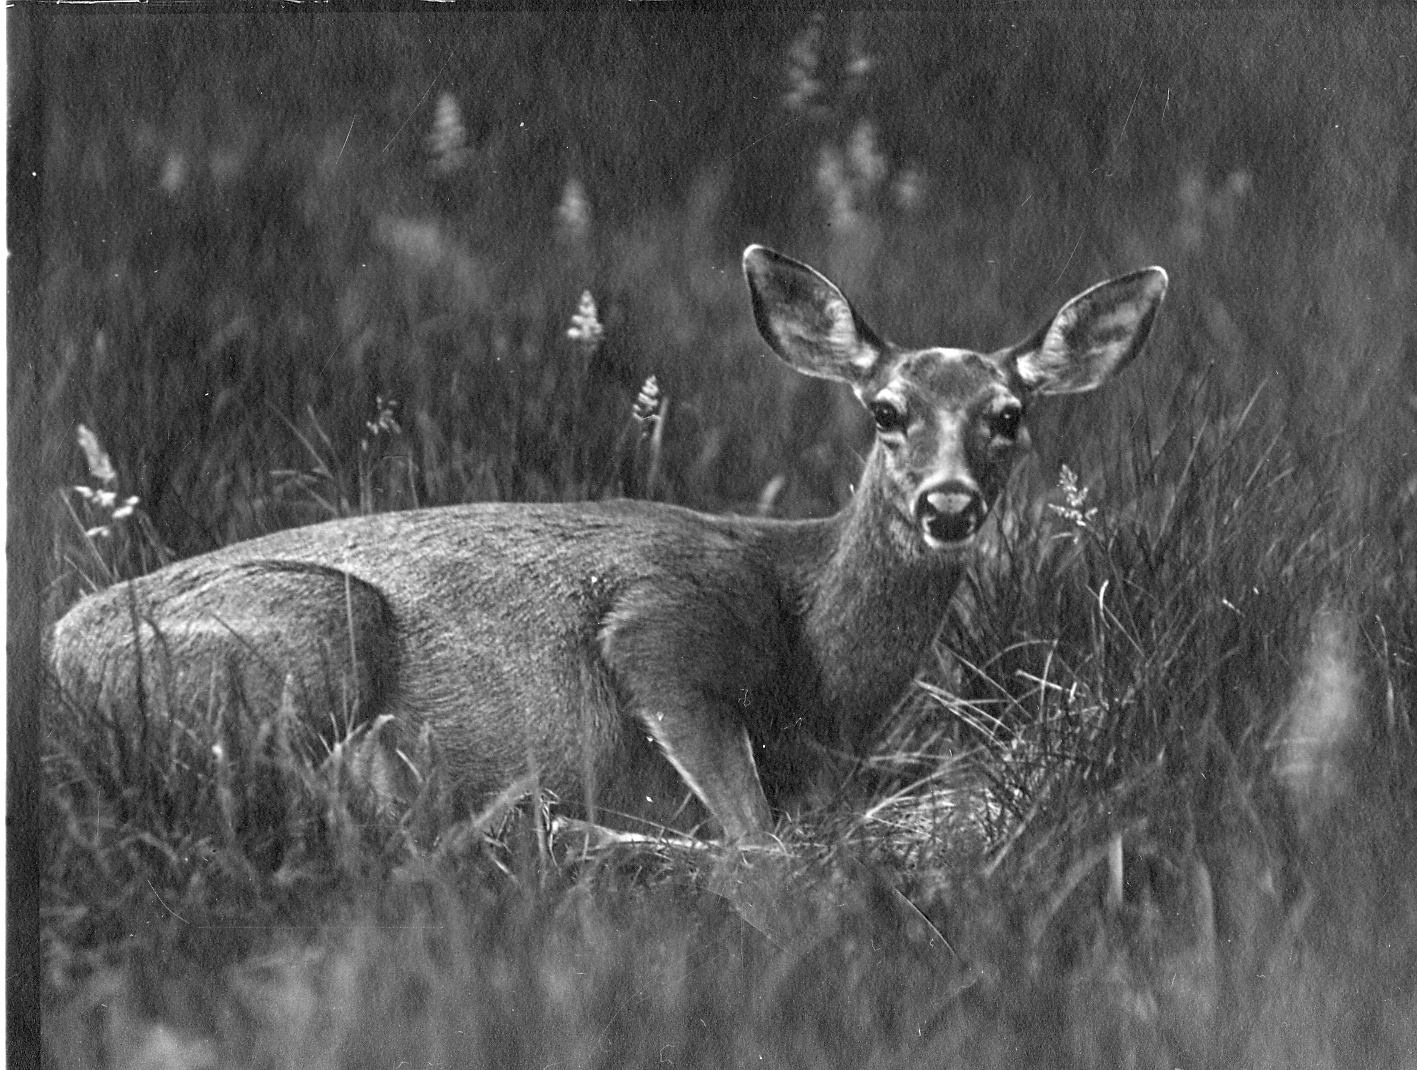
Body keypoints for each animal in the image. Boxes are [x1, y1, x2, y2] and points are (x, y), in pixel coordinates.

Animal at [50, 246, 1168, 857]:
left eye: (1009, 415)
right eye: (885, 410)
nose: (948, 504)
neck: (813, 658)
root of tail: (60, 653)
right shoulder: (661, 621)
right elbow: (755, 831)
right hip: (314, 627)